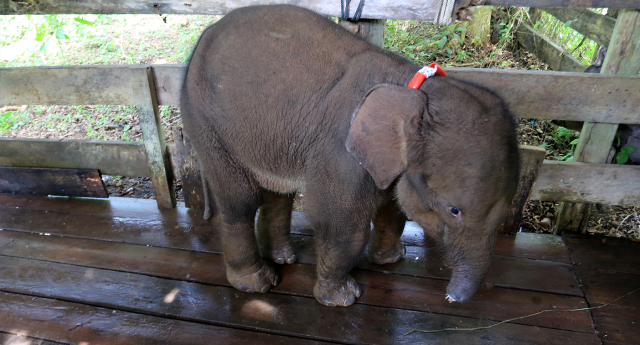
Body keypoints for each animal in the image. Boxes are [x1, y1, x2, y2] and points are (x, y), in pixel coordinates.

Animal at [180, 4, 520, 306]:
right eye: (454, 211)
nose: (450, 298)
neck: (413, 89)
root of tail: (206, 32)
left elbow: (394, 208)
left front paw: (390, 260)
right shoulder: (340, 153)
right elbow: (340, 222)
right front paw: (343, 299)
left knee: (279, 192)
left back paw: (284, 258)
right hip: (205, 121)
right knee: (240, 200)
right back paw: (257, 283)